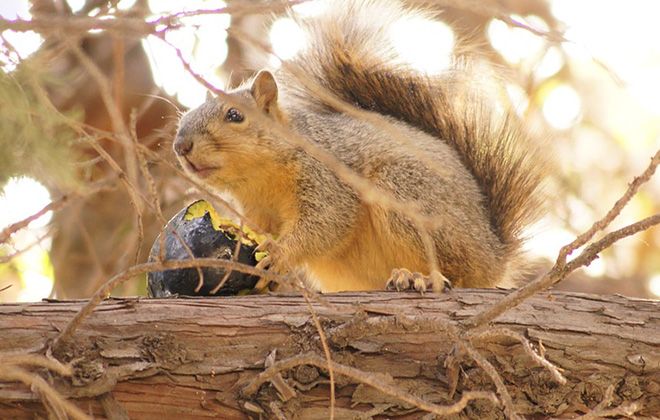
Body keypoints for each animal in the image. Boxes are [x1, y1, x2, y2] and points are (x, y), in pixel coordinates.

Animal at [171, 0, 548, 292]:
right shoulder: (258, 212)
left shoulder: (326, 177)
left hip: (407, 193)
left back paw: (422, 277)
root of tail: (494, 254)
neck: (261, 178)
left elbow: (329, 221)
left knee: (458, 273)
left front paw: (281, 254)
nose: (181, 145)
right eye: (183, 118)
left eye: (235, 115)